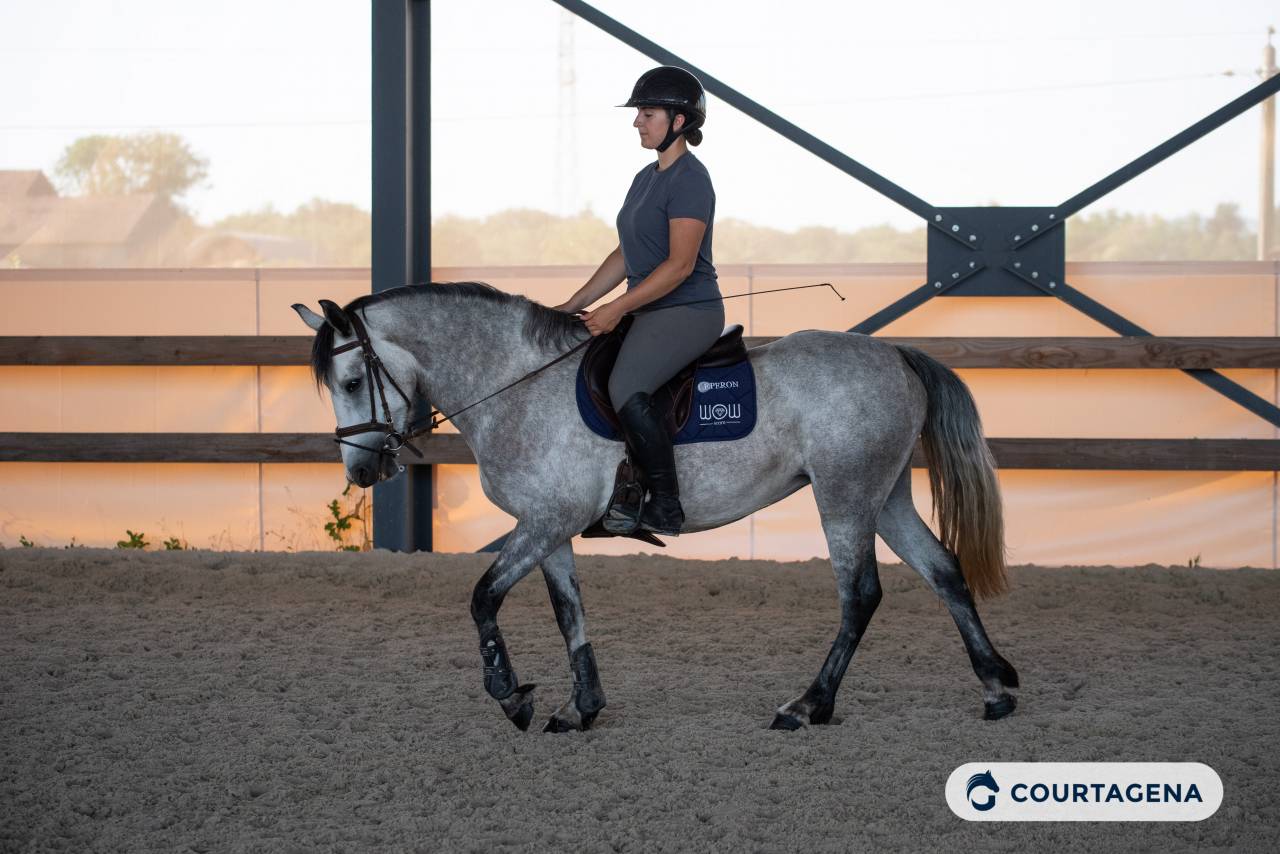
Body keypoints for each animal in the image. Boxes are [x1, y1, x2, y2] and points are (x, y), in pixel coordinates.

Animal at [292, 281, 1020, 733]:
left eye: (352, 381)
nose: (361, 471)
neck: (514, 385)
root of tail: (895, 354)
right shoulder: (549, 528)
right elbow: (568, 612)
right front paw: (580, 709)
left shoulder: (545, 521)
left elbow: (482, 597)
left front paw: (510, 696)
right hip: (883, 496)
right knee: (944, 571)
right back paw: (995, 687)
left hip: (843, 498)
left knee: (861, 595)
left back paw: (807, 705)